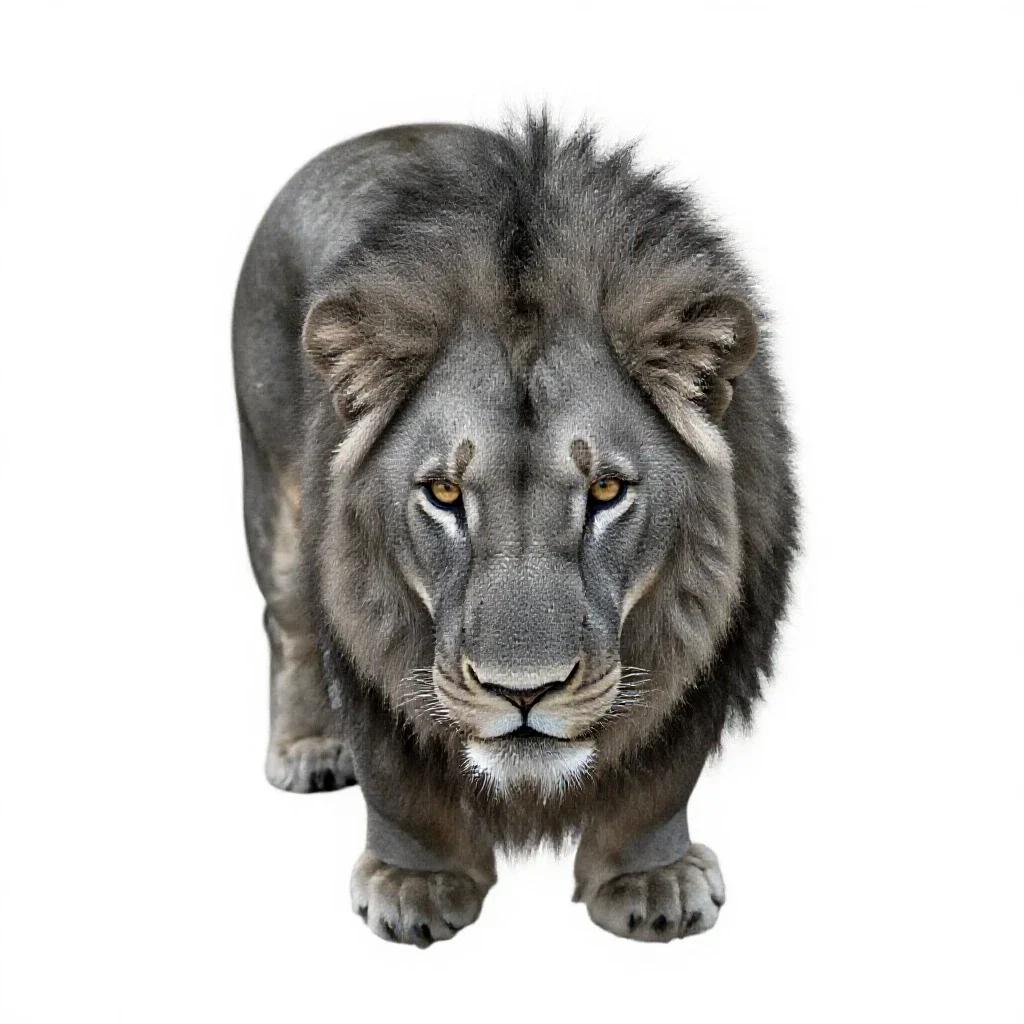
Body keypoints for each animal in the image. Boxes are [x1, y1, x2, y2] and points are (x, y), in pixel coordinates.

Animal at [232, 114, 798, 946]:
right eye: (443, 492)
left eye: (605, 491)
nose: (521, 692)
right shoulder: (366, 622)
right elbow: (396, 772)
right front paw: (414, 885)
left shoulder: (706, 632)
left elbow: (660, 778)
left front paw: (650, 881)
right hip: (273, 489)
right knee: (289, 621)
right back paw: (308, 750)